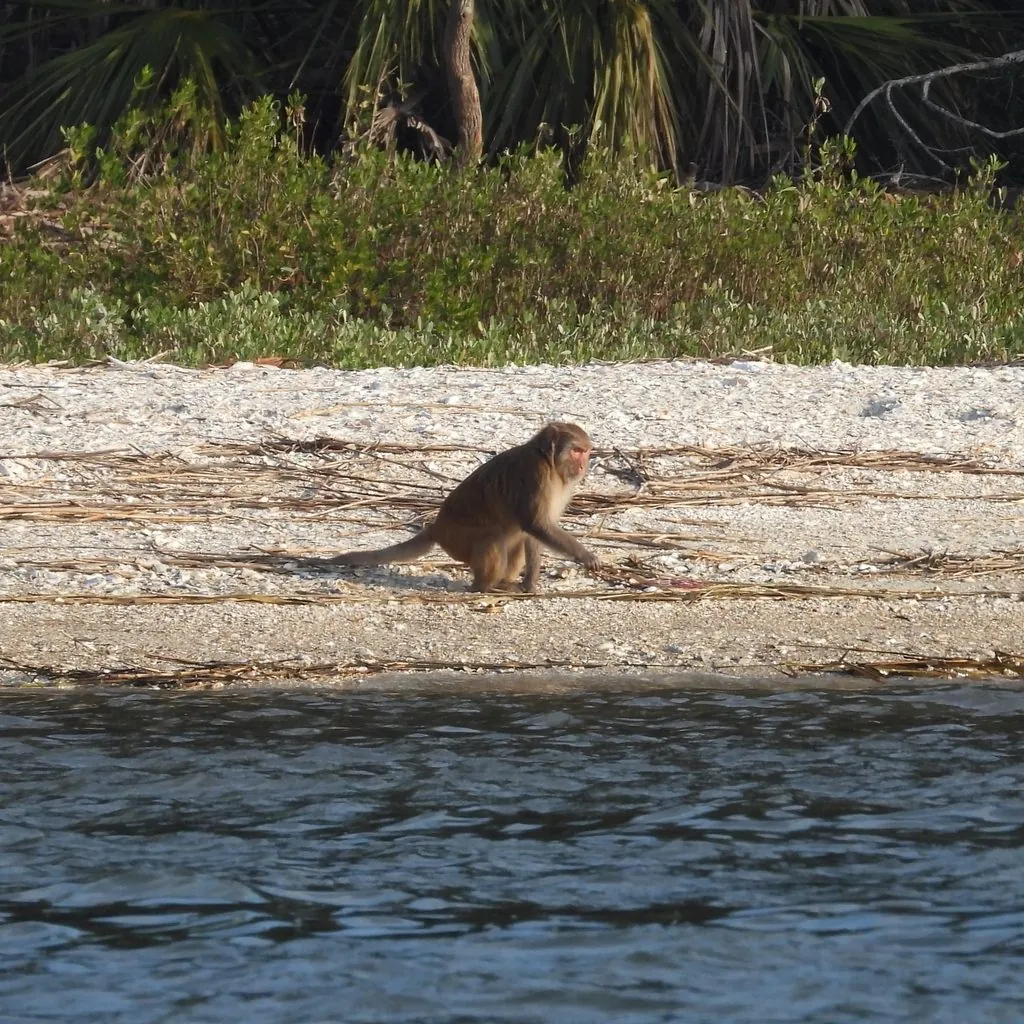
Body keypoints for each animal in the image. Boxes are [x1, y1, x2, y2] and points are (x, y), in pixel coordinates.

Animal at [329, 422, 600, 593]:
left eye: (585, 452)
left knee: (514, 539)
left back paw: (502, 583)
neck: (549, 462)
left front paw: (530, 583)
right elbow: (535, 523)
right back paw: (484, 587)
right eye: (576, 451)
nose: (583, 465)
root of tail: (437, 527)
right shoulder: (536, 475)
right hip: (457, 539)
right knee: (492, 538)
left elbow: (533, 532)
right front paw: (585, 555)